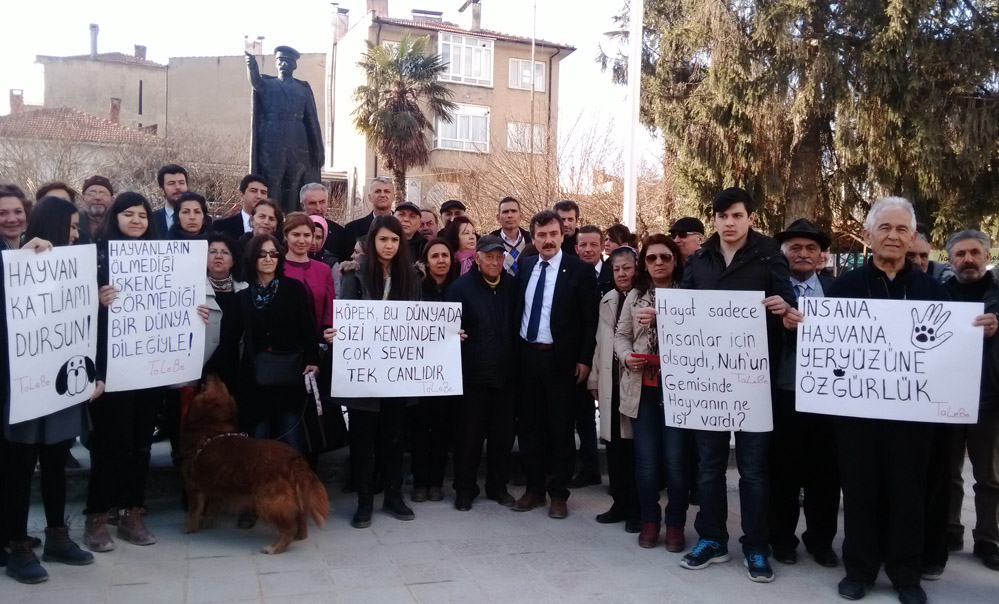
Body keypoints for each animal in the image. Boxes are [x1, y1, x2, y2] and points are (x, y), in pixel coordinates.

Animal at [180, 376, 328, 556]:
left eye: (206, 386)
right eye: (222, 384)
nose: (211, 374)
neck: (211, 430)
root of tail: (294, 458)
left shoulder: (193, 487)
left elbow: (193, 511)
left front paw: (189, 527)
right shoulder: (215, 489)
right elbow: (211, 509)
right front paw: (207, 523)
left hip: (266, 502)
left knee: (289, 528)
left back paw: (275, 548)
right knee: (300, 520)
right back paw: (299, 536)